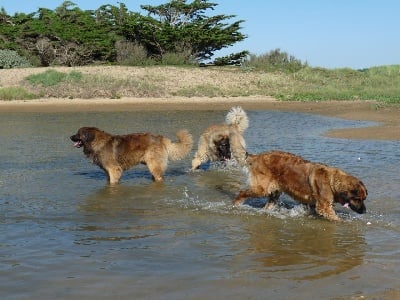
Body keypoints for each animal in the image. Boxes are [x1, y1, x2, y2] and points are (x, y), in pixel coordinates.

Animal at [233, 150, 368, 220]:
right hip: (261, 189)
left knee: (268, 204)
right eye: (357, 199)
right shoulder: (324, 206)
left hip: (274, 193)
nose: (365, 211)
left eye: (364, 199)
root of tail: (257, 156)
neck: (332, 180)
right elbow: (336, 218)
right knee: (242, 193)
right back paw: (236, 204)